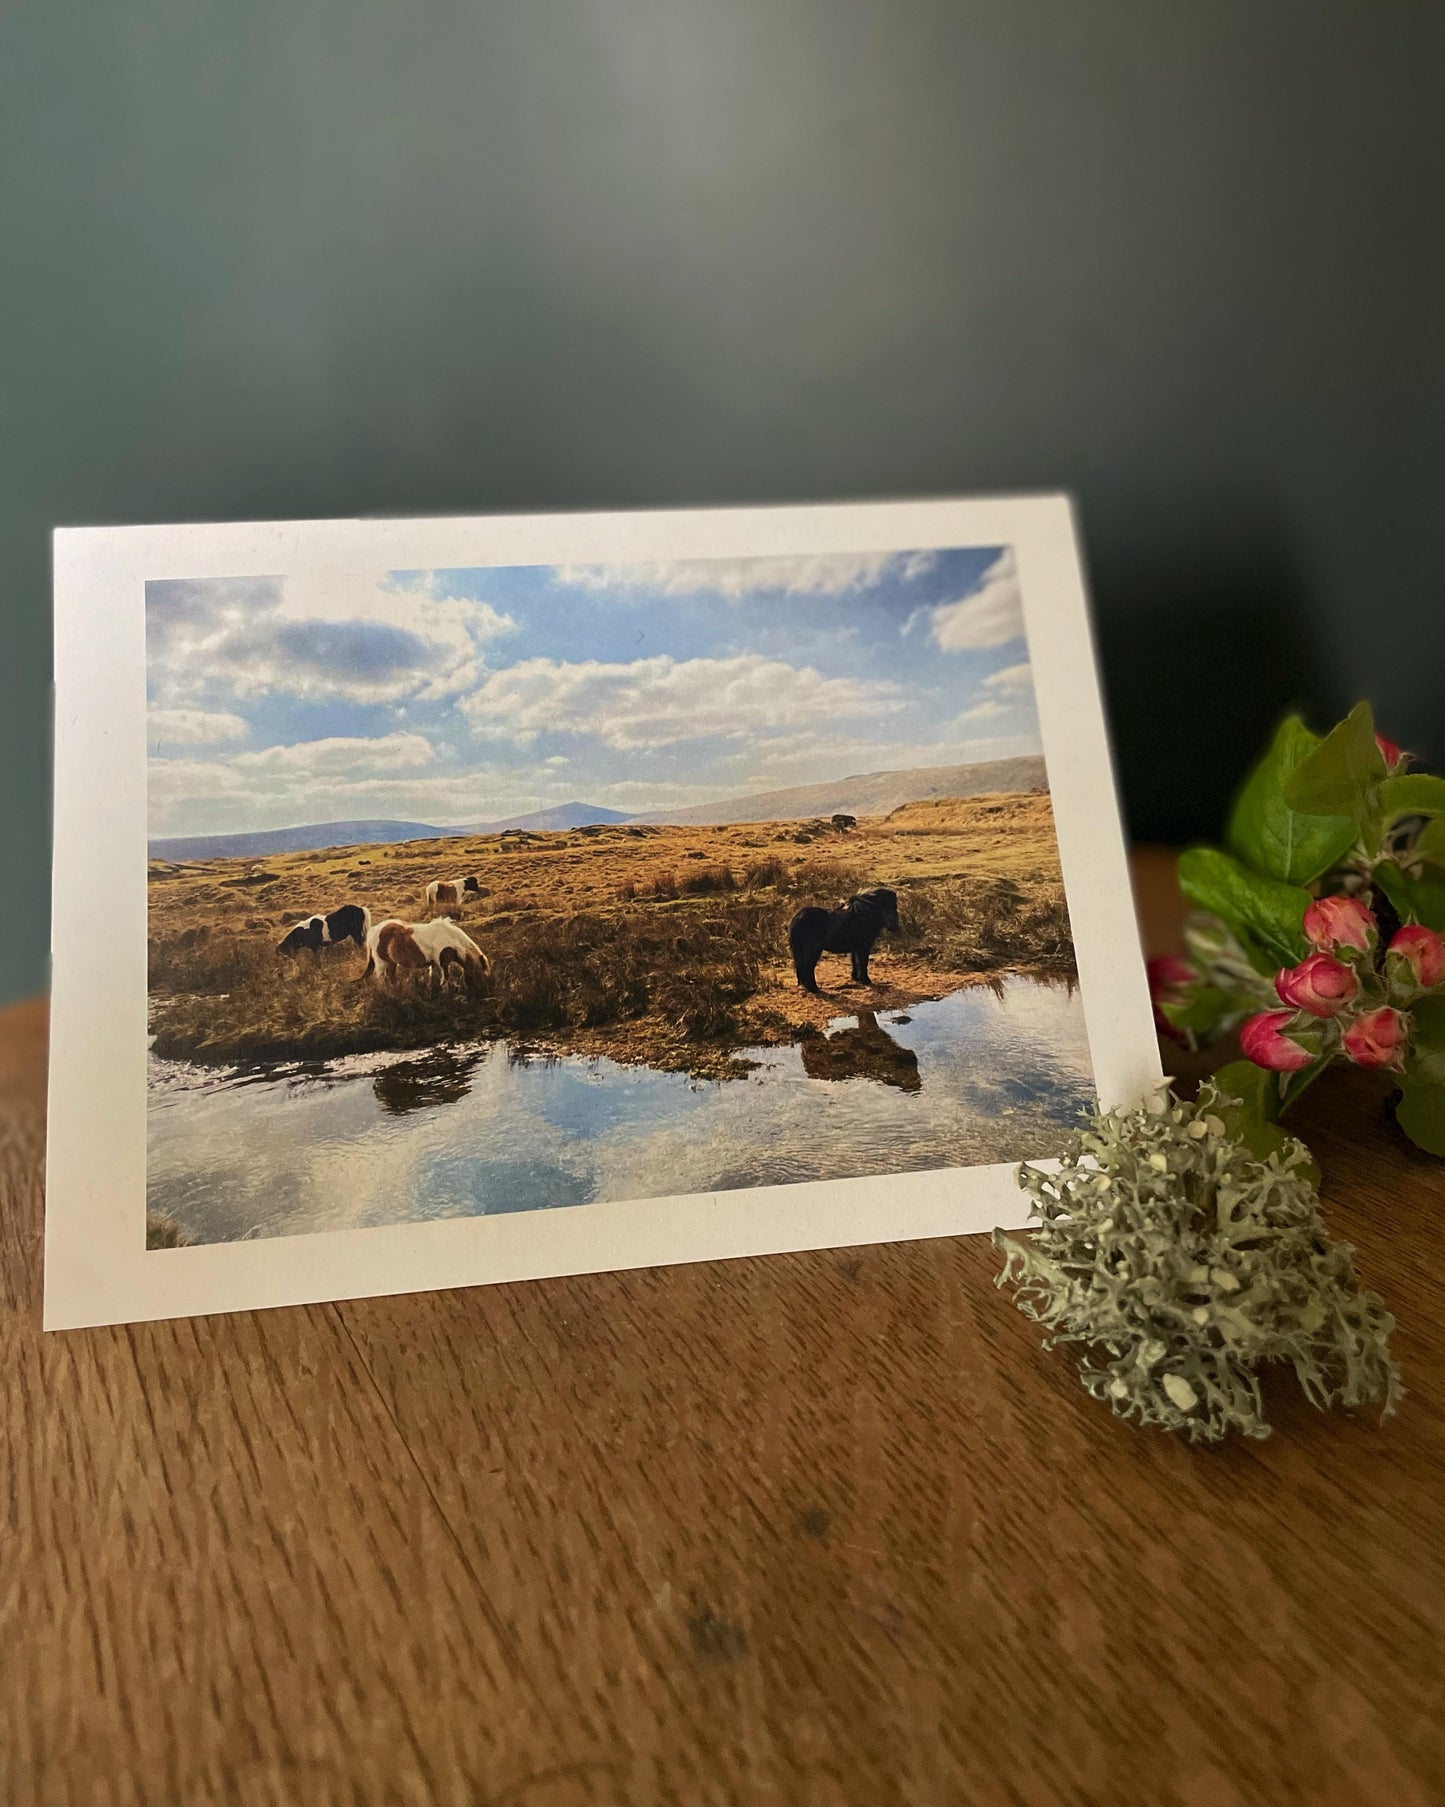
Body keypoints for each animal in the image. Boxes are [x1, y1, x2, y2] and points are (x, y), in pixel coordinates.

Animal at [361, 917, 491, 990]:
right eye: (479, 974)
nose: (483, 990)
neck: (450, 937)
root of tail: (374, 929)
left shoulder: (434, 964)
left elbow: (432, 978)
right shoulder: (442, 962)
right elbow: (445, 980)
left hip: (392, 962)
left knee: (391, 977)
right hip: (381, 963)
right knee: (381, 979)